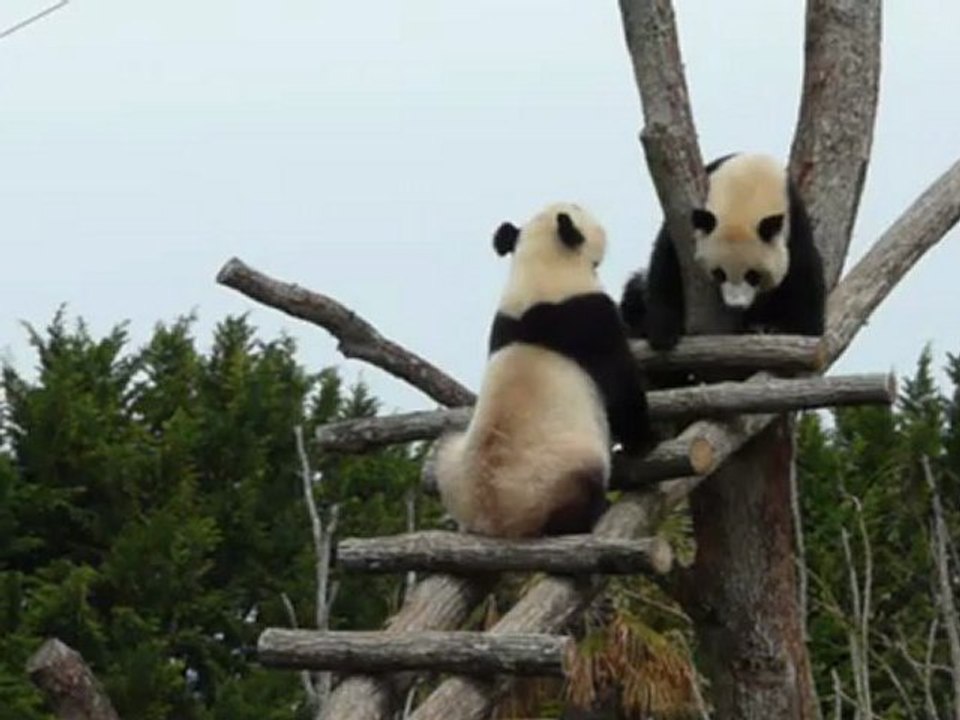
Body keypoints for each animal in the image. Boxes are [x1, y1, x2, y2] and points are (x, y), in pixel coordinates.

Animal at [432, 202, 655, 539]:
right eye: (580, 206)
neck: (540, 267)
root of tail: (492, 520)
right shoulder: (587, 318)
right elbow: (621, 386)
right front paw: (646, 441)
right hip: (558, 473)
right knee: (581, 491)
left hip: (454, 467)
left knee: (445, 448)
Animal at [620, 152, 826, 351]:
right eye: (719, 273)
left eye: (753, 275)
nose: (737, 306)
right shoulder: (689, 224)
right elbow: (666, 264)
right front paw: (663, 333)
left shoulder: (793, 225)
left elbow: (803, 276)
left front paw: (788, 328)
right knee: (635, 289)